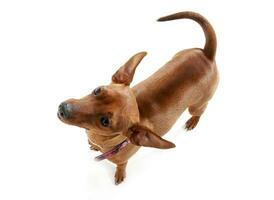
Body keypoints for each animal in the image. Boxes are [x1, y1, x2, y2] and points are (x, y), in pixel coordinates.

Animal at [57, 11, 218, 184]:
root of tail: (208, 55)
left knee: (200, 111)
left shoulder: (122, 160)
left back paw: (193, 121)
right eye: (97, 90)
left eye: (105, 122)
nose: (63, 109)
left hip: (197, 105)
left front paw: (120, 174)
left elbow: (121, 166)